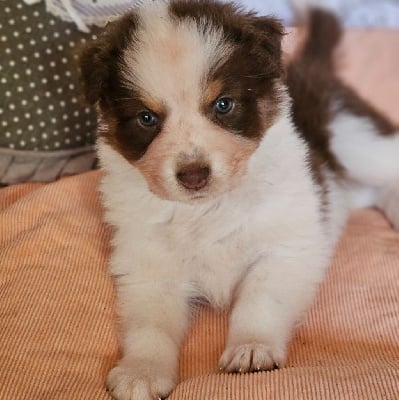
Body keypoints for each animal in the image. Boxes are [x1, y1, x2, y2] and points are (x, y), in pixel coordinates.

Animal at [79, 1, 399, 398]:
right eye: (147, 118)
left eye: (223, 104)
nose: (194, 175)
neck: (206, 209)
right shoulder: (149, 267)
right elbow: (149, 325)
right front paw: (142, 370)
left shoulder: (284, 247)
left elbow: (258, 301)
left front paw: (251, 347)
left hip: (355, 141)